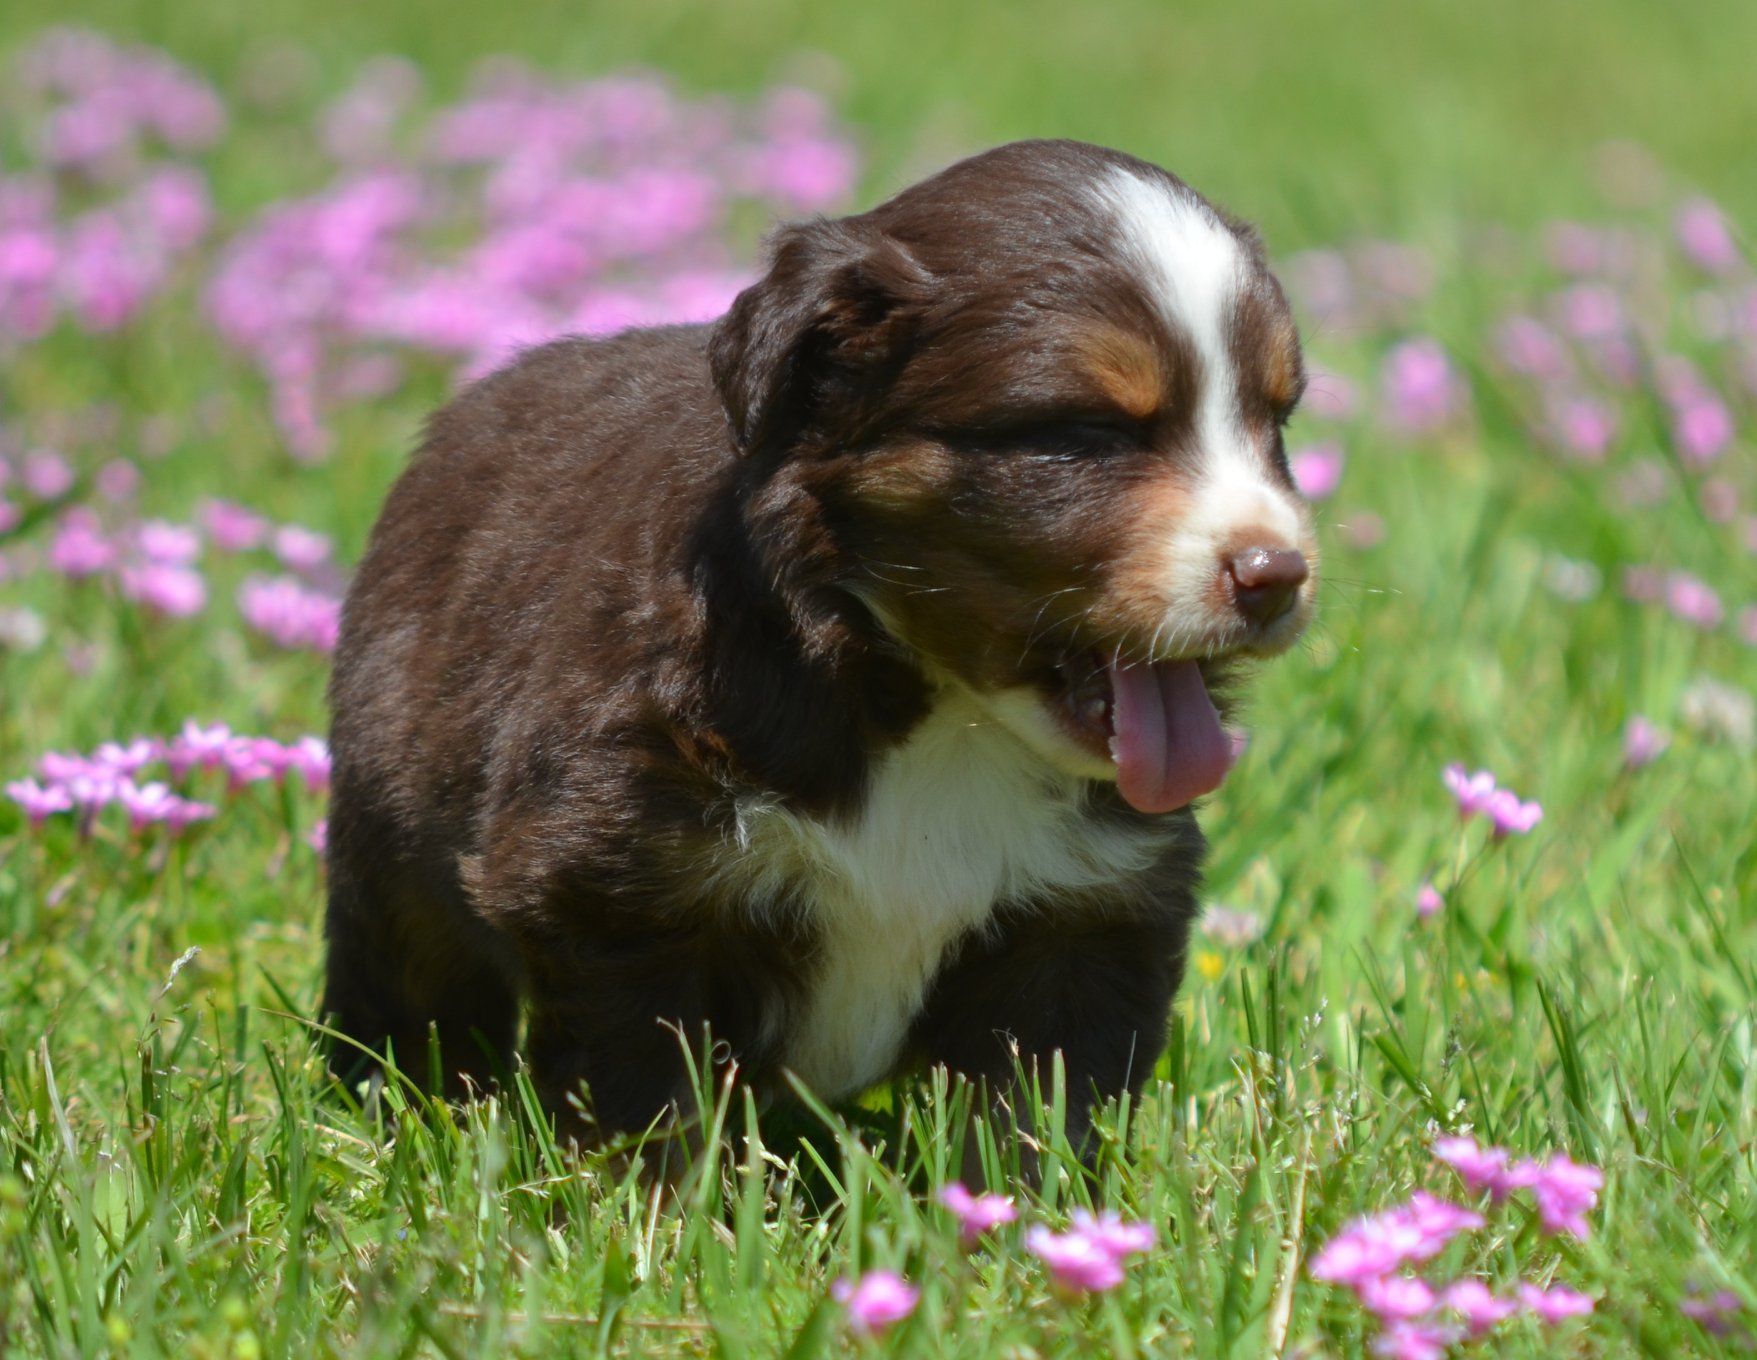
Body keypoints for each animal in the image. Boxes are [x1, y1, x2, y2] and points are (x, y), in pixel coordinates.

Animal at [319, 141, 1321, 1159]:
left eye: (1273, 422)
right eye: (1088, 432)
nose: (1276, 574)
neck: (939, 717)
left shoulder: (1090, 916)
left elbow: (1038, 1113)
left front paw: (1020, 1203)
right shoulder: (614, 884)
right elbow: (644, 1095)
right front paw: (657, 1199)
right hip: (387, 839)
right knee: (410, 988)